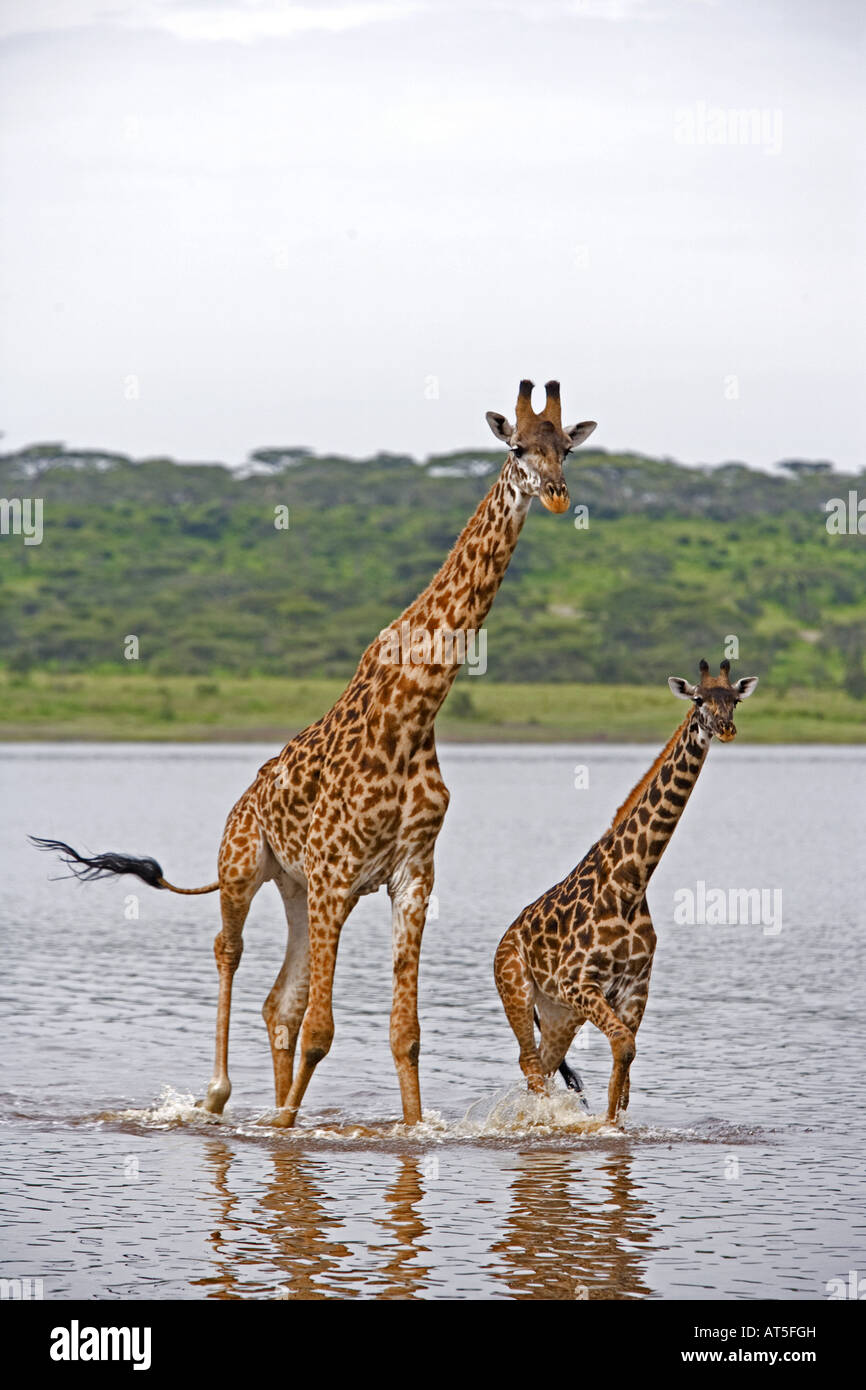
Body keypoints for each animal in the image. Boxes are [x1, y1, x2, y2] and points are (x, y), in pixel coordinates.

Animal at [33, 380, 597, 1128]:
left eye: (566, 448)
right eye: (516, 448)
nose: (557, 495)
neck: (417, 709)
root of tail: (246, 798)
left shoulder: (409, 877)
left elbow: (403, 1033)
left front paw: (402, 1128)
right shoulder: (336, 872)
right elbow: (325, 1030)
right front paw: (283, 1127)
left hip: (298, 889)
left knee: (281, 1003)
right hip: (245, 865)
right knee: (232, 952)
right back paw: (219, 1098)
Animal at [494, 659, 758, 1125]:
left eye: (734, 700)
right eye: (698, 699)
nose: (725, 728)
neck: (632, 883)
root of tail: (503, 942)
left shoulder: (635, 987)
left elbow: (627, 1062)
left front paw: (613, 1123)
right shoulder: (579, 981)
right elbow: (623, 1047)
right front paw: (604, 1128)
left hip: (559, 1013)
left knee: (544, 1063)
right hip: (519, 991)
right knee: (528, 1061)